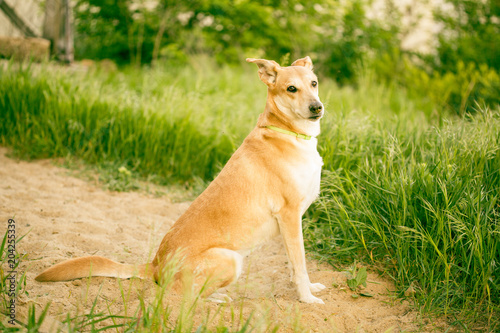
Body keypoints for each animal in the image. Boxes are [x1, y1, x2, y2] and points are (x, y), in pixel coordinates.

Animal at [35, 56, 326, 304]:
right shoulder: (289, 216)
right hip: (229, 259)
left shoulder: (291, 222)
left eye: (314, 83)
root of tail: (155, 265)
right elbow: (300, 264)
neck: (287, 132)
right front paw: (307, 298)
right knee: (182, 296)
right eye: (291, 88)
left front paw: (309, 289)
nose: (317, 107)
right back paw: (215, 300)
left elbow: (294, 265)